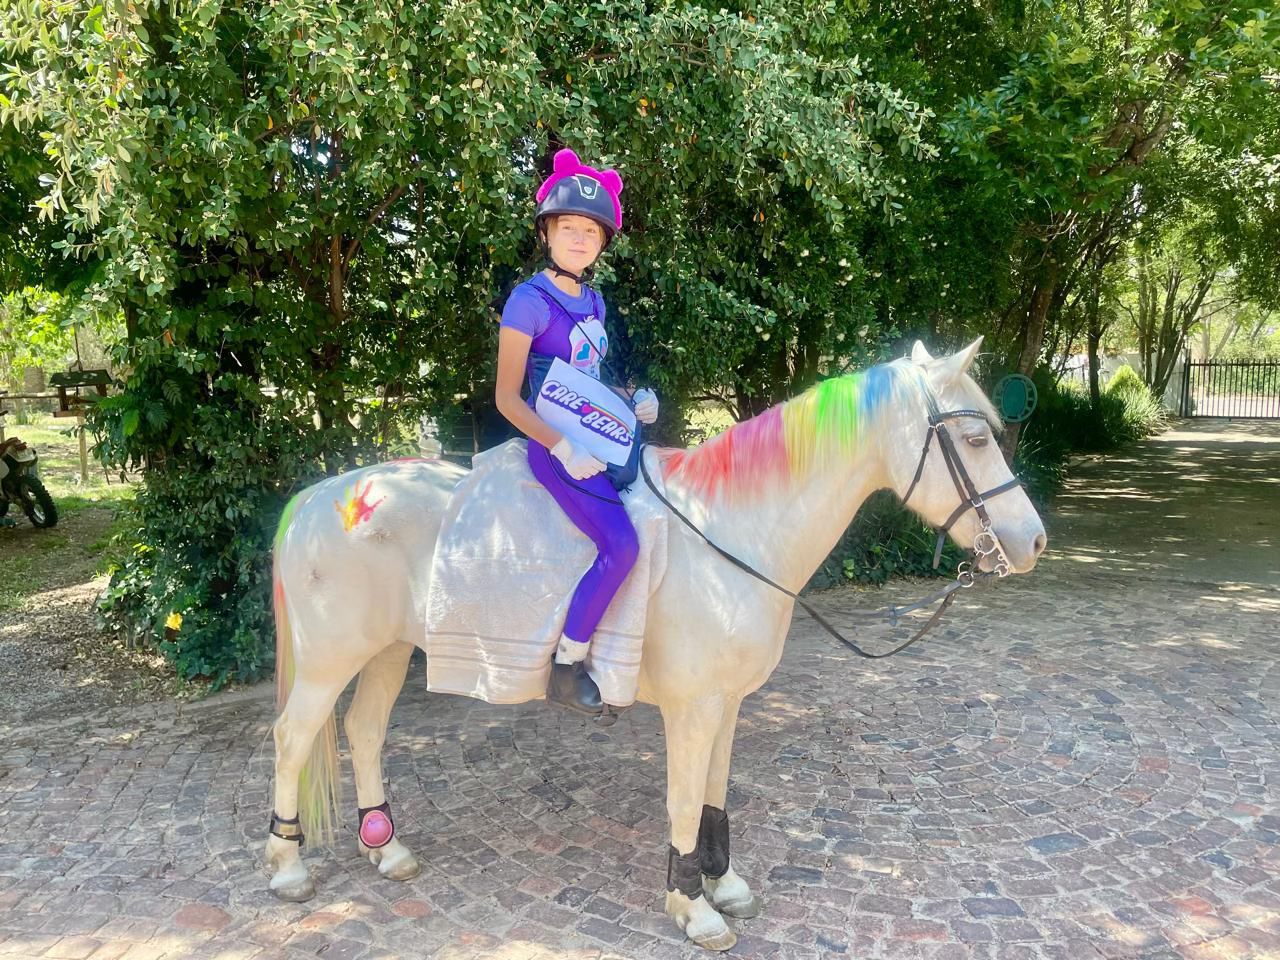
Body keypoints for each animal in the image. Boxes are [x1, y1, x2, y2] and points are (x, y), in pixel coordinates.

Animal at [264, 338, 1047, 951]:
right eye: (974, 439)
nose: (1033, 542)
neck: (732, 531)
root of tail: (322, 496)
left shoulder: (727, 704)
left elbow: (713, 797)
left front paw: (722, 883)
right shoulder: (691, 708)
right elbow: (681, 802)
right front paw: (691, 908)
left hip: (388, 651)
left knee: (363, 732)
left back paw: (386, 849)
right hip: (331, 661)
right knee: (295, 738)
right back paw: (287, 864)